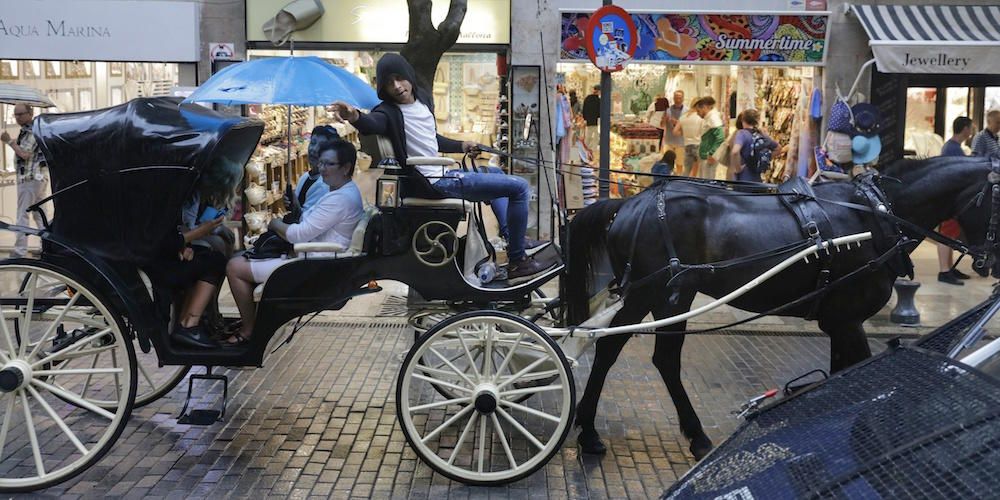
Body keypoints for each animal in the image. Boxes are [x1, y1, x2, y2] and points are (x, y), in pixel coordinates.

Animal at [568, 156, 996, 460]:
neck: (877, 216)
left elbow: (838, 377)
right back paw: (592, 432)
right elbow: (854, 374)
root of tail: (629, 203)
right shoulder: (847, 320)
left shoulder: (836, 324)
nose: (989, 265)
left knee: (657, 357)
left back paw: (682, 434)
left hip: (671, 298)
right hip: (651, 293)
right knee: (612, 347)